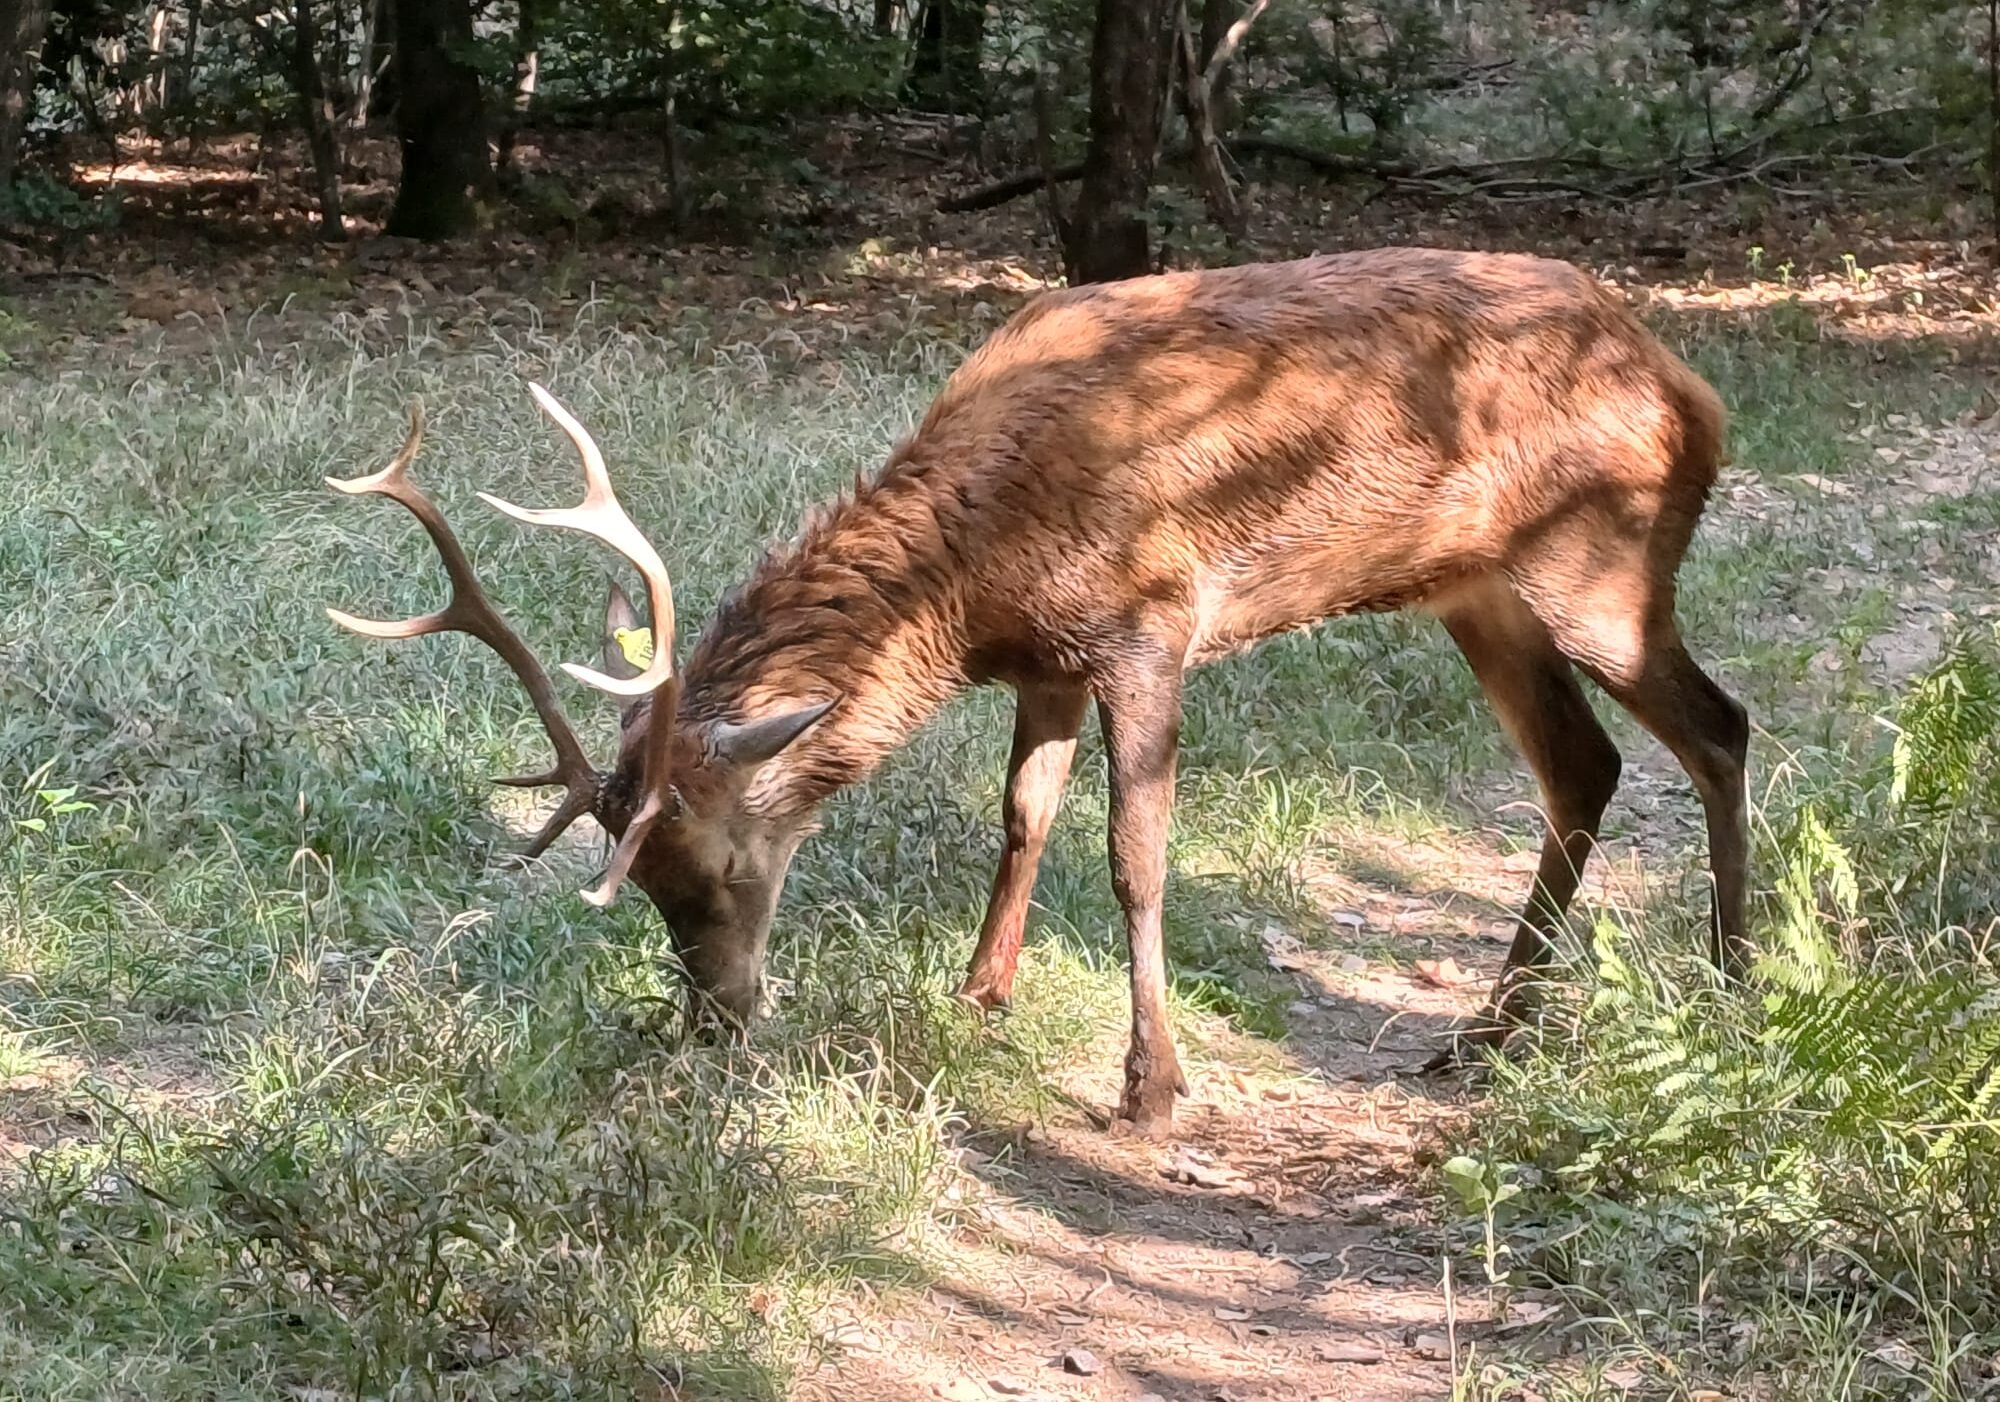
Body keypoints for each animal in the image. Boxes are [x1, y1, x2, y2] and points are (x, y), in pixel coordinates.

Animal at [326, 247, 1749, 1137]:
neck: (976, 577)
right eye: (650, 892)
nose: (721, 1019)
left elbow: (1133, 853)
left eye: (722, 869)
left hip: (1597, 557)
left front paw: (1150, 1087)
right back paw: (1488, 1031)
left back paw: (1730, 980)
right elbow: (1020, 819)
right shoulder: (1047, 663)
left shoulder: (1152, 621)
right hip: (1475, 590)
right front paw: (978, 997)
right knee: (1584, 764)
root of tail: (1696, 394)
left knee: (1715, 727)